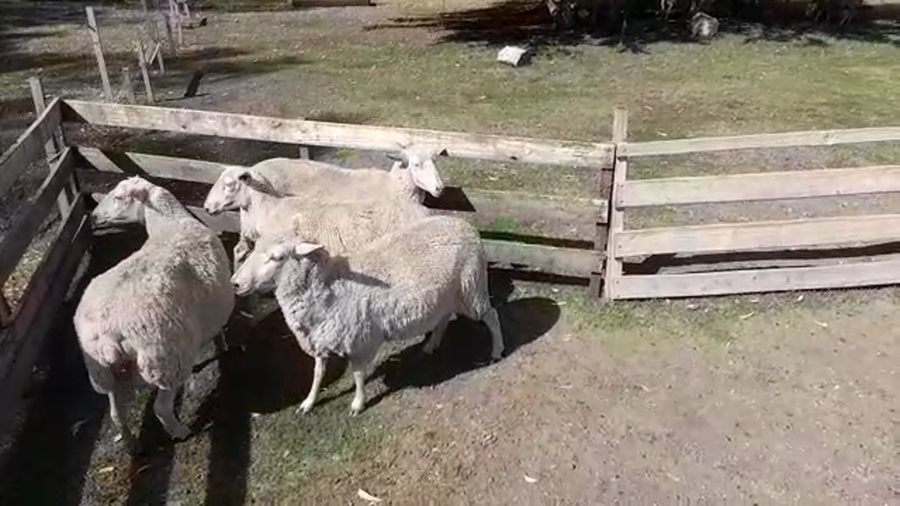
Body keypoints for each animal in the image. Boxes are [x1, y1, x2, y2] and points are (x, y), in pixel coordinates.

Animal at [74, 176, 235, 451]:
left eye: (119, 197)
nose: (93, 216)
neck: (170, 223)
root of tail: (107, 335)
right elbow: (219, 331)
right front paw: (223, 346)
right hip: (166, 362)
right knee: (161, 408)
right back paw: (180, 431)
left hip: (104, 374)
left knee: (117, 413)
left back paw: (131, 445)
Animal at [230, 216, 505, 415]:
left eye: (276, 257)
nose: (235, 283)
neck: (330, 284)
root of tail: (465, 224)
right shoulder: (320, 337)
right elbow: (318, 373)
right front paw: (308, 402)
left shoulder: (359, 340)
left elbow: (358, 375)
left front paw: (357, 404)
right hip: (445, 294)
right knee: (444, 318)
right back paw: (431, 345)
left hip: (471, 287)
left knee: (491, 315)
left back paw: (496, 351)